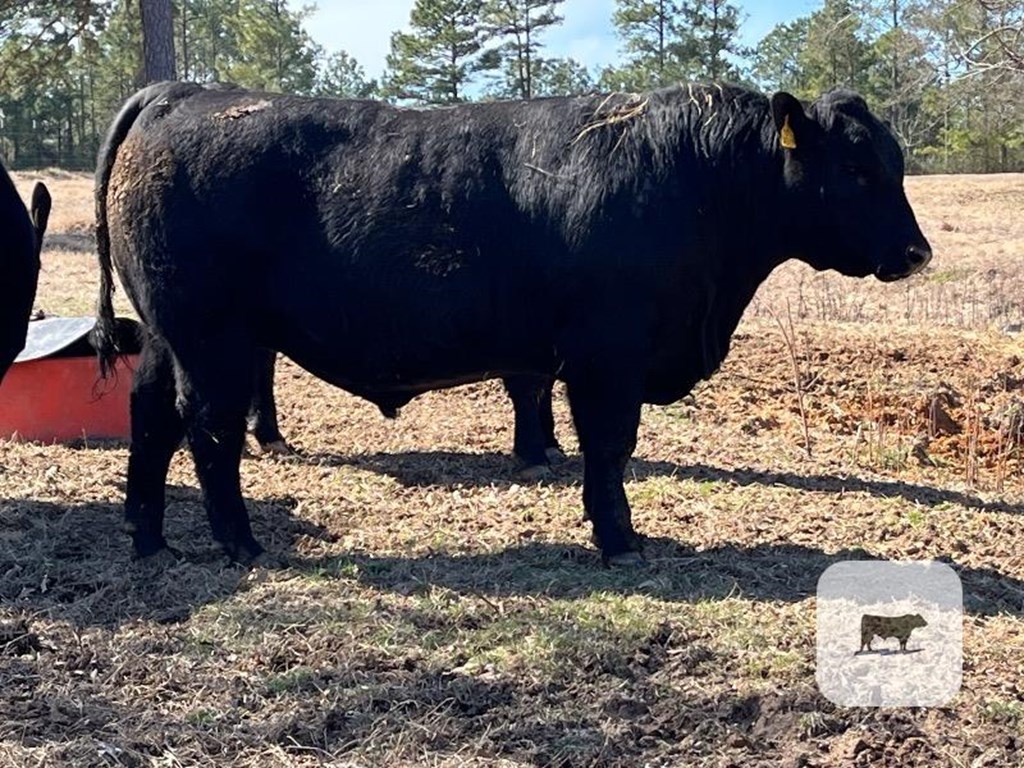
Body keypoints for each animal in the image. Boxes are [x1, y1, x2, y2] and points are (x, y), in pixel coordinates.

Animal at [97, 82, 937, 565]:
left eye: (894, 163)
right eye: (858, 168)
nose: (916, 252)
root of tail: (183, 93)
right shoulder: (608, 356)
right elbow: (609, 447)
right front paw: (619, 540)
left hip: (170, 336)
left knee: (150, 416)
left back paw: (148, 536)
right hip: (214, 338)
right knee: (208, 428)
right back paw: (240, 543)